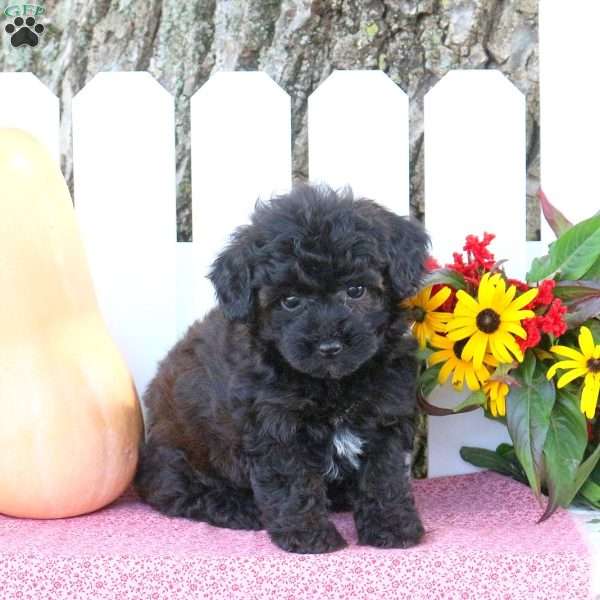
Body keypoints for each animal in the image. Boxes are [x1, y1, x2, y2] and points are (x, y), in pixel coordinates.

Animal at [135, 183, 426, 552]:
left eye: (356, 290)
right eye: (290, 301)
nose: (329, 346)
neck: (333, 386)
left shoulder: (384, 415)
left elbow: (383, 476)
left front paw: (392, 527)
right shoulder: (276, 427)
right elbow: (293, 484)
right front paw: (310, 536)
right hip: (180, 452)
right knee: (174, 491)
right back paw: (237, 508)